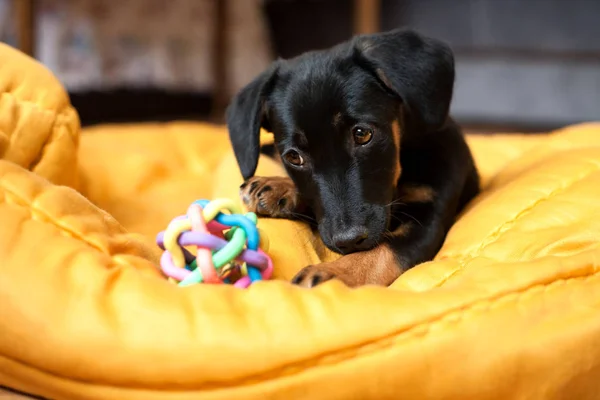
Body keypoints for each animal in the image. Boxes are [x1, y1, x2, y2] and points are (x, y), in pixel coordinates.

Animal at [224, 29, 478, 290]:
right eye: (294, 157)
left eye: (362, 134)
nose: (348, 241)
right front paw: (279, 186)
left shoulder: (430, 213)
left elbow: (381, 253)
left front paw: (332, 272)